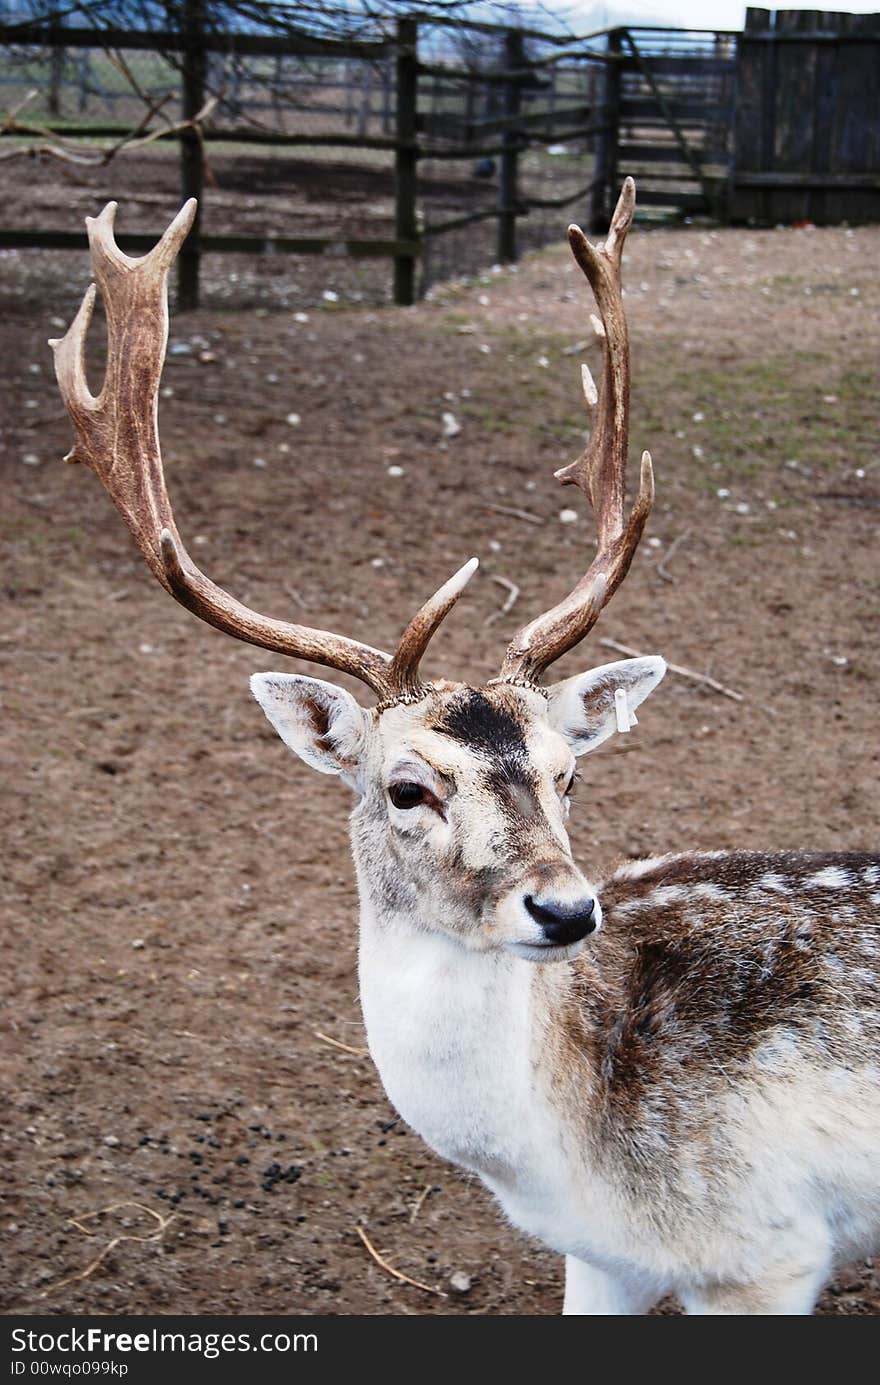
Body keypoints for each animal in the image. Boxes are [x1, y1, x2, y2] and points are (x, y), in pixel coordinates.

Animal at [51, 178, 880, 1312]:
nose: (566, 909)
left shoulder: (771, 1249)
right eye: (406, 788)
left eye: (570, 773)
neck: (571, 1158)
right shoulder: (605, 1255)